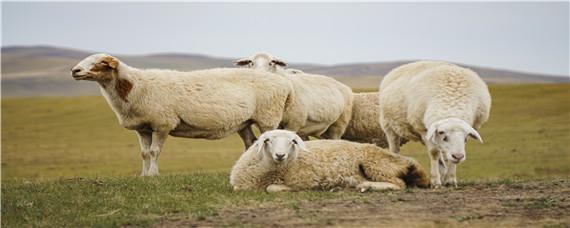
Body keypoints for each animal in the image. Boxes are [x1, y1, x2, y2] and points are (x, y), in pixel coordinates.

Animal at [70, 53, 302, 176]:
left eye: (101, 63)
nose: (75, 71)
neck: (134, 86)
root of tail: (285, 83)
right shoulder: (142, 128)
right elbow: (144, 153)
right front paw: (143, 175)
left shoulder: (162, 123)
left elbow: (154, 152)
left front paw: (153, 175)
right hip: (244, 122)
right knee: (250, 144)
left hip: (268, 117)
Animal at [229, 129, 428, 191]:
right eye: (268, 140)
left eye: (293, 141)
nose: (280, 155)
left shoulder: (305, 181)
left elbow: (273, 188)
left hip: (375, 164)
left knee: (399, 184)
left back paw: (365, 186)